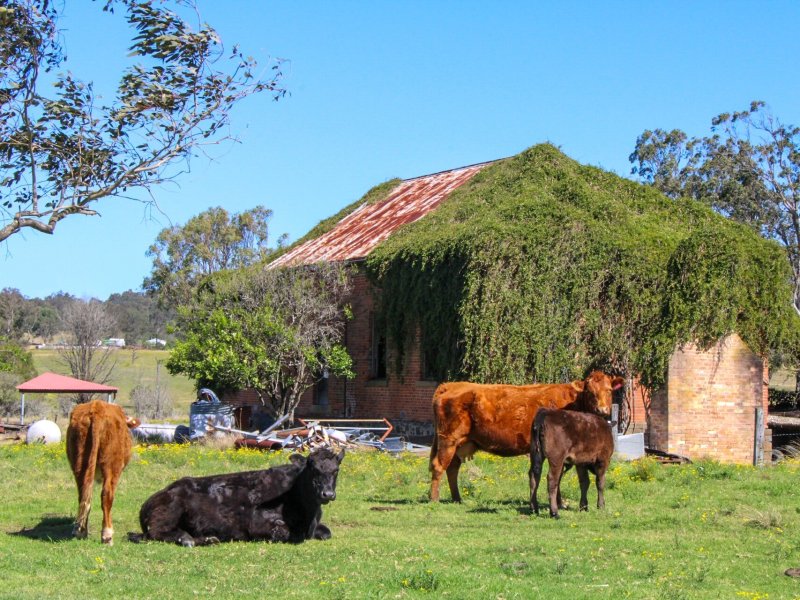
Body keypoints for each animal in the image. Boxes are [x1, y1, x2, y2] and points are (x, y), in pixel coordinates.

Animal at [66, 400, 140, 545]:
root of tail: (97, 407)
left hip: (79, 465)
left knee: (83, 495)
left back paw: (80, 531)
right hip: (112, 467)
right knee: (106, 495)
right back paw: (107, 534)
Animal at [128, 447, 345, 547]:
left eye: (336, 470)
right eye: (313, 468)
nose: (327, 494)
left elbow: (326, 532)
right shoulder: (259, 524)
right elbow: (285, 534)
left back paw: (208, 539)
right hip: (168, 513)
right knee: (157, 533)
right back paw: (187, 539)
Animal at [429, 370, 624, 502]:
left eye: (609, 390)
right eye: (590, 392)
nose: (602, 410)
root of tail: (451, 385)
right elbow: (557, 477)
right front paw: (560, 503)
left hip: (460, 443)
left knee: (452, 468)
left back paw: (457, 498)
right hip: (448, 439)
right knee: (439, 466)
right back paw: (434, 499)